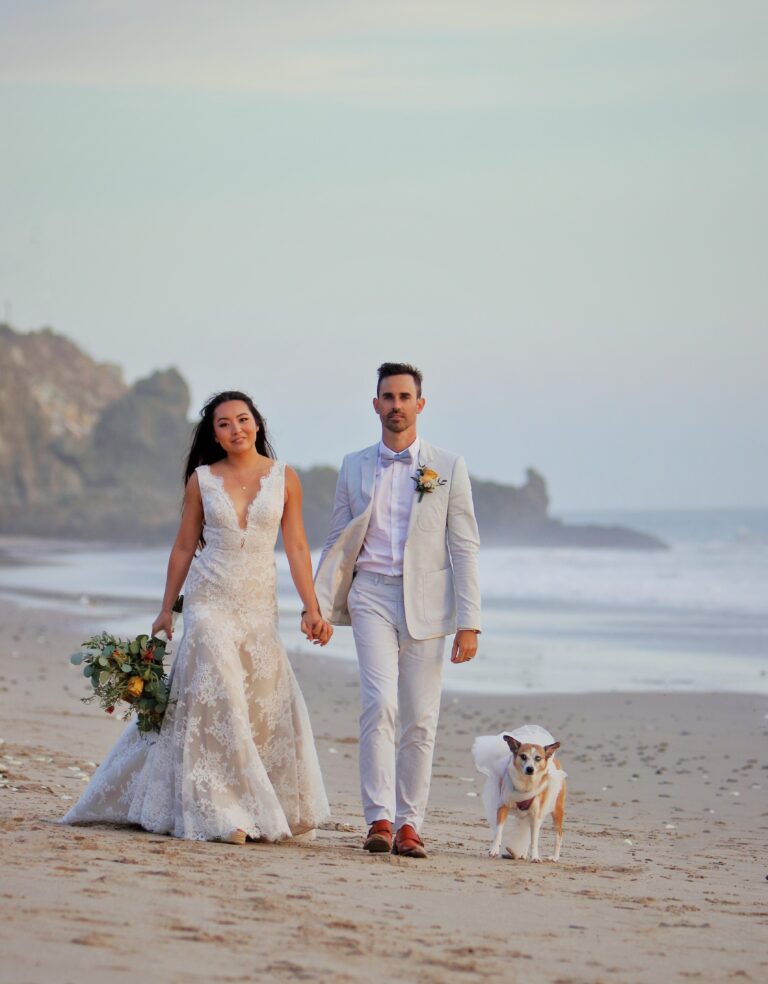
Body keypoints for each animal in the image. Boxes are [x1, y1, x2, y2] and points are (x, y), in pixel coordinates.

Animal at [472, 724, 568, 860]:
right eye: (523, 756)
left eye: (538, 758)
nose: (530, 769)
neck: (526, 785)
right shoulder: (503, 806)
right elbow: (499, 832)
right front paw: (494, 850)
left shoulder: (535, 815)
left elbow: (534, 840)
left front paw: (535, 857)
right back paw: (521, 854)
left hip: (557, 809)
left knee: (559, 835)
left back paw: (554, 857)